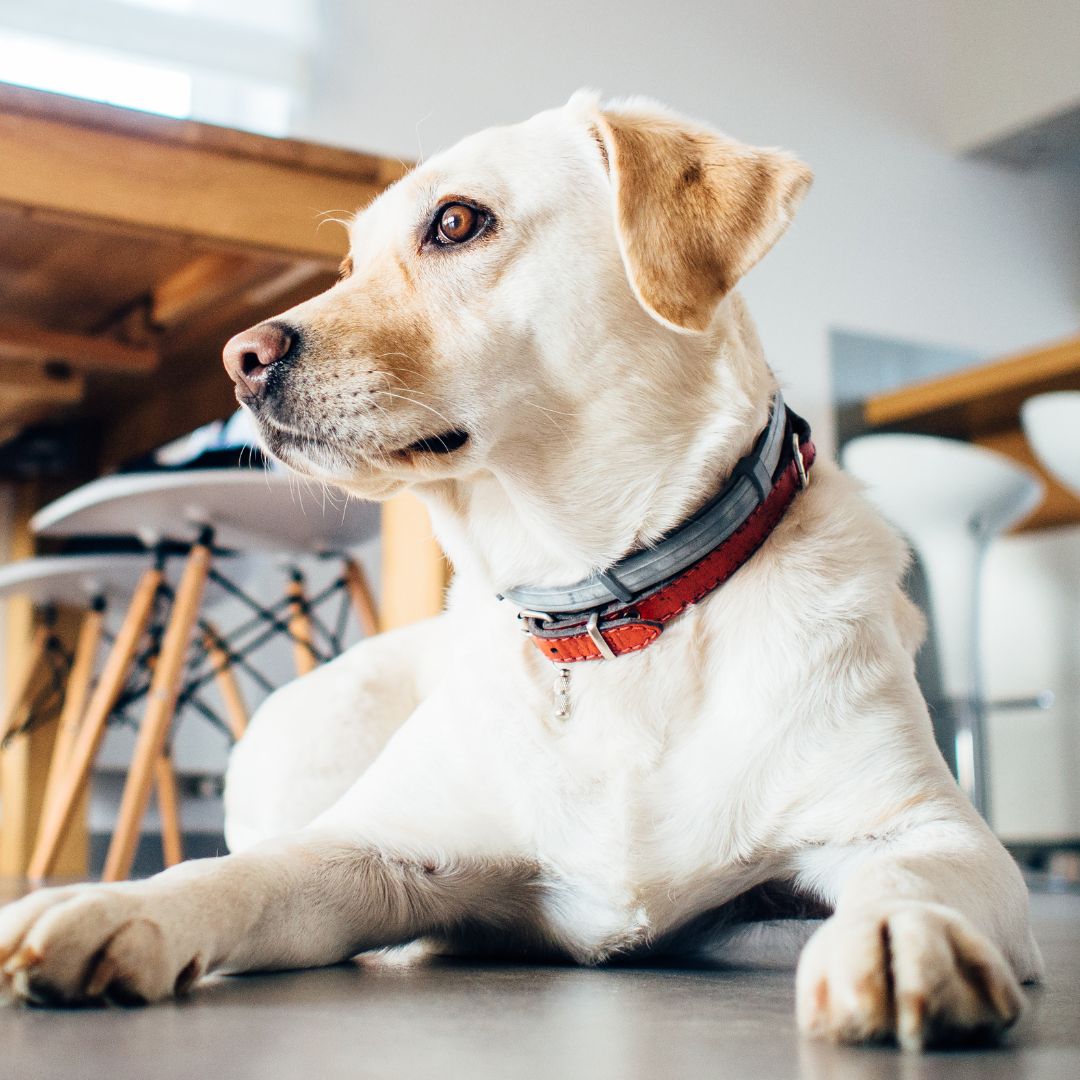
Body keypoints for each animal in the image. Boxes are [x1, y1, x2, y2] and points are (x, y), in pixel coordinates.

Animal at [0, 92, 1045, 1045]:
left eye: (458, 222)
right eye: (347, 267)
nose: (239, 359)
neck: (606, 615)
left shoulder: (928, 827)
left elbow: (910, 868)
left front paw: (900, 931)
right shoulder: (367, 849)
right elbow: (233, 873)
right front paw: (113, 908)